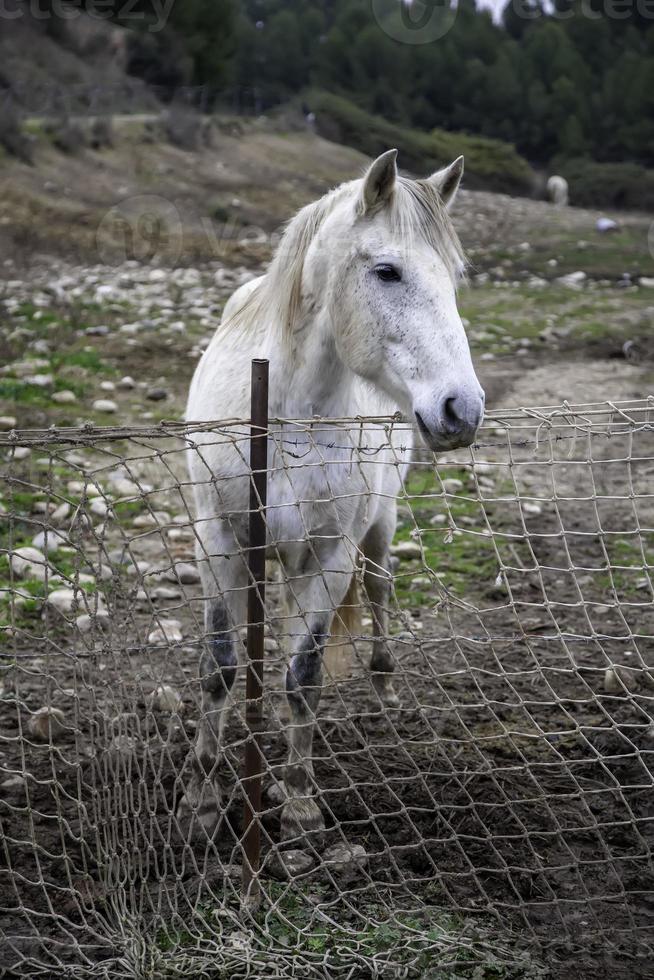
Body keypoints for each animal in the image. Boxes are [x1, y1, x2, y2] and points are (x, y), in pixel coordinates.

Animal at [182, 149, 484, 848]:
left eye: (455, 277)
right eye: (387, 271)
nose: (463, 409)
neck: (286, 415)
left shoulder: (329, 556)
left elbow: (305, 677)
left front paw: (297, 809)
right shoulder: (217, 541)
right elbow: (220, 667)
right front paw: (205, 800)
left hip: (377, 528)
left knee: (378, 590)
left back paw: (382, 689)